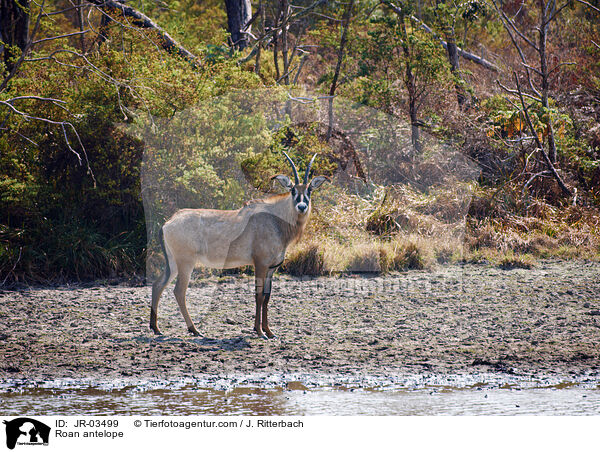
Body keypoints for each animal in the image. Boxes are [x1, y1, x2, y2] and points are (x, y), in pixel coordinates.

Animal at [150, 152, 328, 340]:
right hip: (185, 263)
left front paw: (269, 331)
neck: (275, 218)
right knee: (179, 291)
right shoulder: (260, 264)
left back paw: (156, 327)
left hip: (173, 264)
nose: (302, 206)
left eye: (309, 190)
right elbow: (258, 296)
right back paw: (194, 330)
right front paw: (259, 332)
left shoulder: (272, 268)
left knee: (158, 285)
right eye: (293, 190)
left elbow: (267, 297)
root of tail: (168, 222)